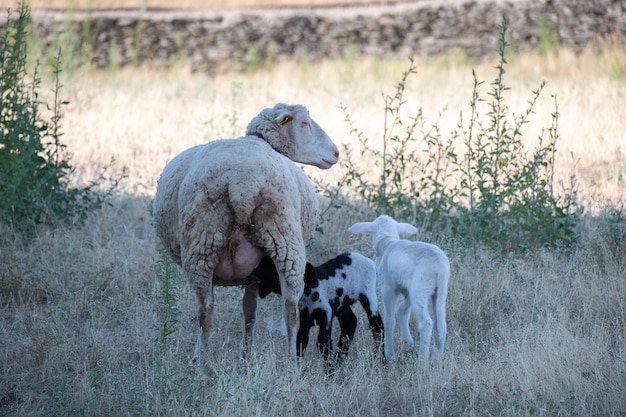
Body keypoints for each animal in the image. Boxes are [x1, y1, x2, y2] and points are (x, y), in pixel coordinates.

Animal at [152, 101, 338, 374]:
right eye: (305, 123)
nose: (336, 153)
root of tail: (243, 185)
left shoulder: (253, 273)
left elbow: (248, 311)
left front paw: (244, 357)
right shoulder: (257, 273)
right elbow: (251, 312)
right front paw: (246, 355)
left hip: (202, 241)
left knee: (205, 309)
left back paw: (202, 364)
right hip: (286, 241)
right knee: (291, 308)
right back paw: (292, 365)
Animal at [251, 250, 382, 364]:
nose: (255, 269)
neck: (309, 290)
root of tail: (368, 260)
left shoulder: (326, 315)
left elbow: (323, 343)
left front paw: (329, 373)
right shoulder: (305, 321)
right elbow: (301, 342)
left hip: (369, 295)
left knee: (377, 327)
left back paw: (381, 359)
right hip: (342, 304)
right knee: (350, 322)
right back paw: (339, 359)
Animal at [346, 216, 448, 362]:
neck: (388, 243)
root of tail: (438, 265)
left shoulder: (388, 288)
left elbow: (389, 319)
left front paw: (389, 354)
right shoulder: (407, 289)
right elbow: (402, 311)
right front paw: (408, 342)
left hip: (420, 289)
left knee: (426, 324)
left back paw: (422, 362)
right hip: (440, 290)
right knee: (440, 325)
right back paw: (438, 361)